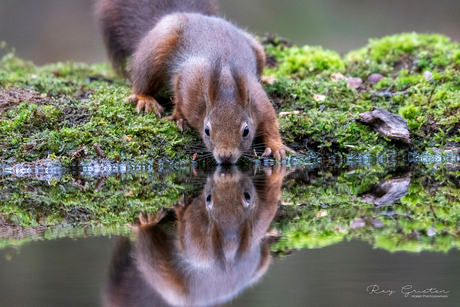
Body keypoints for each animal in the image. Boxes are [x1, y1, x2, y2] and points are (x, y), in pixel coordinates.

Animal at [96, 0, 294, 164]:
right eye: (207, 130)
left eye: (246, 131)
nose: (225, 156)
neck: (226, 83)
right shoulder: (190, 82)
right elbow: (178, 91)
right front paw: (179, 117)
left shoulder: (259, 102)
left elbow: (270, 123)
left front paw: (277, 147)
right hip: (153, 54)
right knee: (142, 80)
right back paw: (145, 99)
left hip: (257, 49)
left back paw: (267, 78)